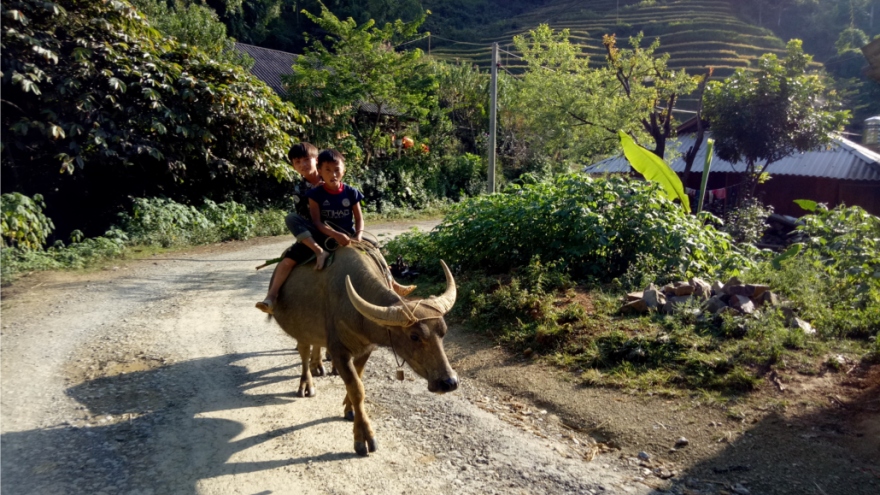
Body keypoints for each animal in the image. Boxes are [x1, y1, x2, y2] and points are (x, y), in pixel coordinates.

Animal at [274, 245, 460, 458]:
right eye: (414, 336)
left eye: (443, 332)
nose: (449, 382)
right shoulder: (339, 351)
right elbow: (356, 389)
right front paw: (363, 437)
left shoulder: (366, 349)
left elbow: (358, 379)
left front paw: (349, 408)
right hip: (301, 330)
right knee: (304, 352)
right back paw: (306, 384)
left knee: (315, 346)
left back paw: (318, 365)